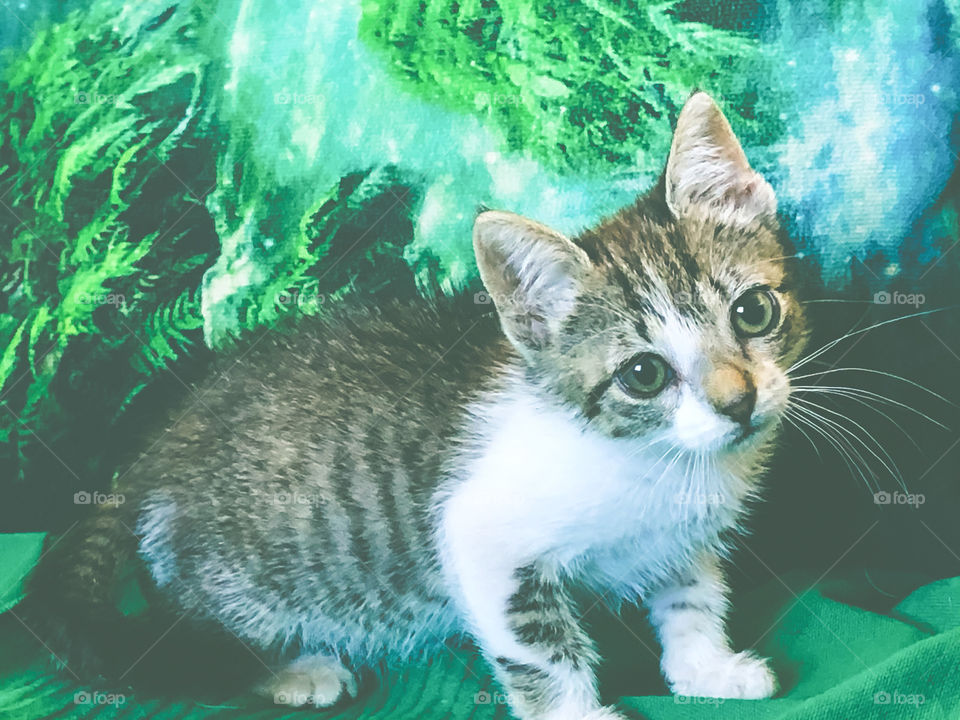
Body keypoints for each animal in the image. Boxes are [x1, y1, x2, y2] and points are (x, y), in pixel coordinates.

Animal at [30, 94, 808, 720]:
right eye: (643, 375)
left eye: (754, 310)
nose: (738, 402)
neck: (658, 459)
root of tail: (169, 429)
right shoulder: (479, 539)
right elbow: (543, 650)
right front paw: (579, 712)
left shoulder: (684, 537)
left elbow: (691, 596)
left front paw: (707, 668)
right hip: (237, 574)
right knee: (205, 638)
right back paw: (295, 670)